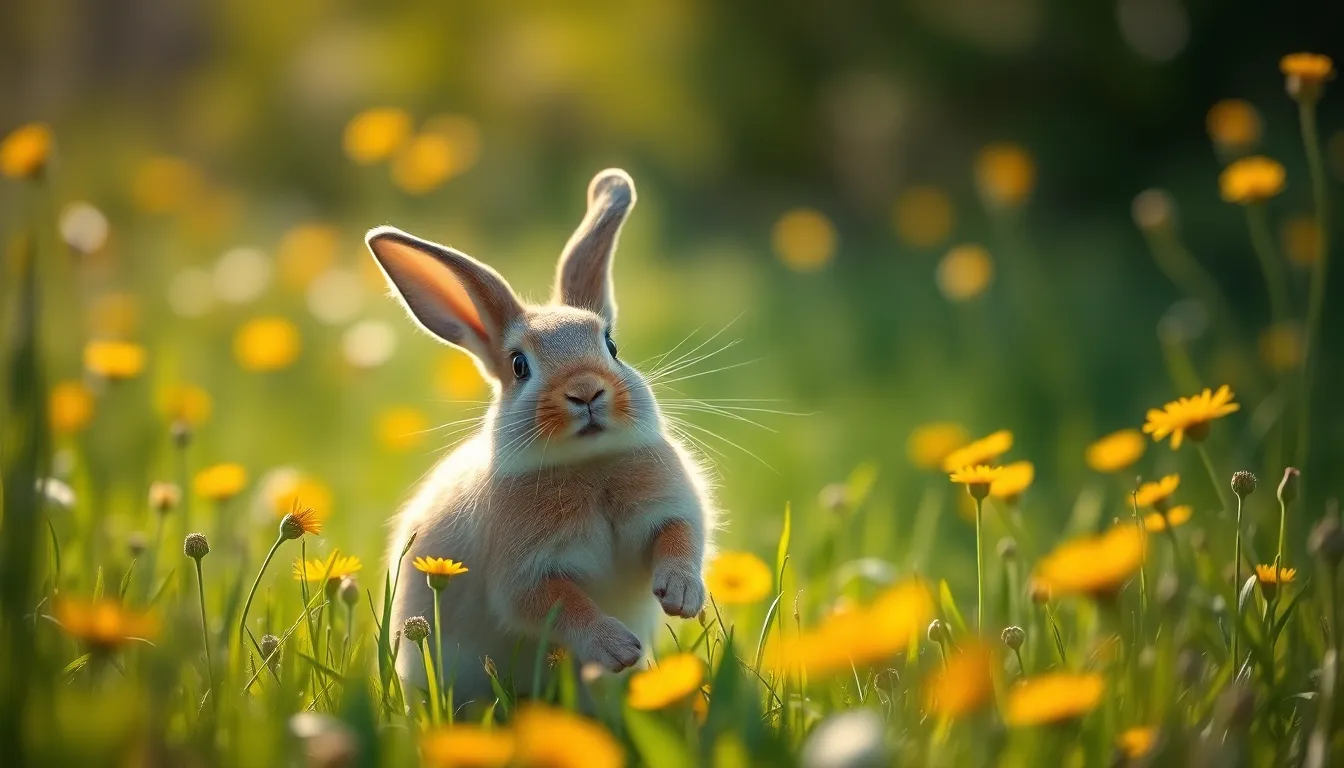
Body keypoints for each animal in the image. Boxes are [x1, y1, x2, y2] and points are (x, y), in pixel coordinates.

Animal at [366, 168, 716, 706]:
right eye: (519, 365)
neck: (589, 467)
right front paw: (617, 647)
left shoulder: (673, 512)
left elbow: (681, 540)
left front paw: (681, 597)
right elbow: (560, 605)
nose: (586, 390)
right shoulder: (524, 576)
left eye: (611, 345)